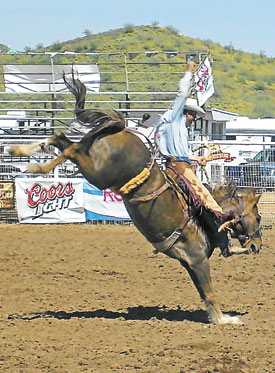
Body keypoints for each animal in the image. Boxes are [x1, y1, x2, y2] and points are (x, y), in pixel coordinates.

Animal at [8, 72, 264, 322]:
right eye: (259, 218)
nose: (258, 246)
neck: (205, 215)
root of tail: (122, 129)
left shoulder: (189, 263)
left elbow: (204, 293)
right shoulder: (196, 259)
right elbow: (209, 292)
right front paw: (225, 320)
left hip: (91, 156)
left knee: (61, 138)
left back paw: (20, 150)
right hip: (98, 171)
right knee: (69, 149)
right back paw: (36, 166)